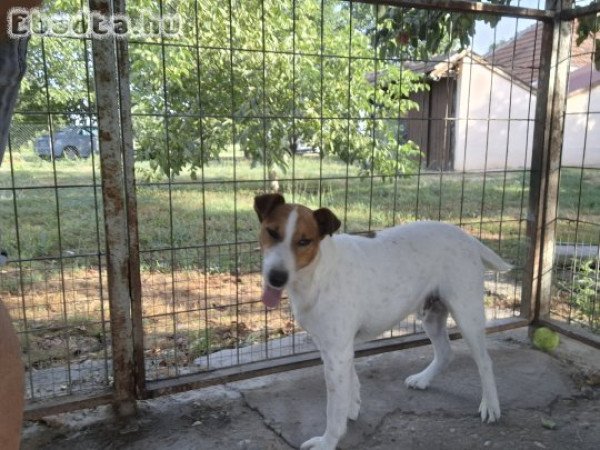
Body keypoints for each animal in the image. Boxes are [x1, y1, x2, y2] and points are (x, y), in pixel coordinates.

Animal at [253, 193, 510, 450]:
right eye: (272, 232)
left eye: (304, 241)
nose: (276, 277)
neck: (317, 271)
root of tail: (466, 236)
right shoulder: (336, 349)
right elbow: (351, 382)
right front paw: (352, 407)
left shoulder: (337, 353)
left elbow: (333, 409)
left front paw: (329, 441)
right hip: (431, 315)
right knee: (446, 352)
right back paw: (423, 379)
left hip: (467, 315)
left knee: (485, 362)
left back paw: (490, 405)